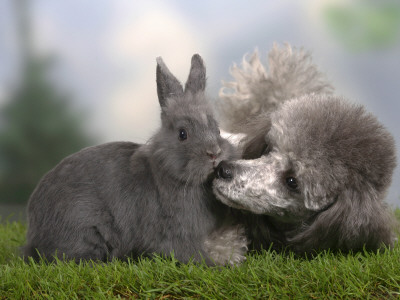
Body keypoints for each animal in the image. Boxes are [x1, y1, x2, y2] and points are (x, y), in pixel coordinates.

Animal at [23, 54, 247, 264]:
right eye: (182, 134)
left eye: (217, 129)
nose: (214, 153)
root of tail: (33, 232)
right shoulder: (175, 236)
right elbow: (193, 256)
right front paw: (221, 266)